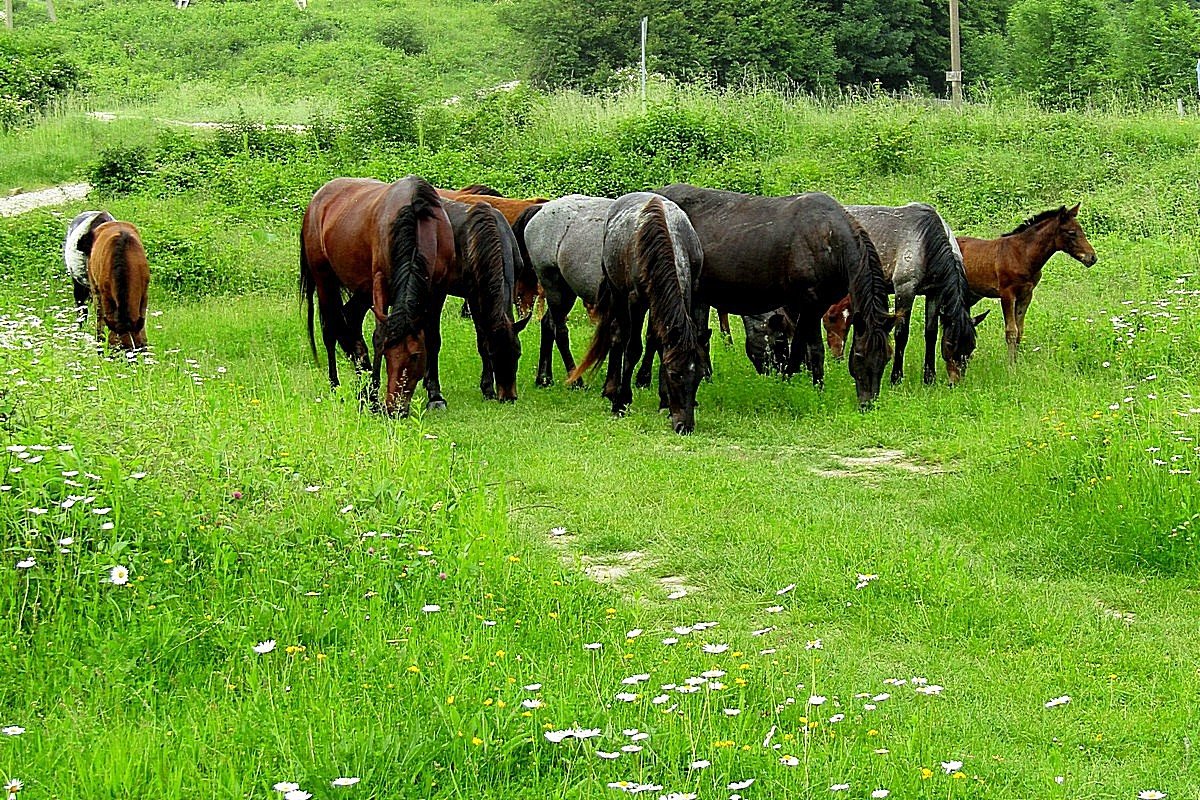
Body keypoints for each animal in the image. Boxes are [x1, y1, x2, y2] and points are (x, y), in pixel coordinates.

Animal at [85, 221, 151, 352]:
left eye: (138, 347)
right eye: (121, 348)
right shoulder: (106, 296)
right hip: (95, 287)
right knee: (99, 316)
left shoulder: (144, 293)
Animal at [955, 201, 1099, 362]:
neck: (1023, 255)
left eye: (1081, 230)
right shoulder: (1007, 294)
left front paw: (1017, 362)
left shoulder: (1026, 295)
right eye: (1071, 232)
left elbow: (1020, 330)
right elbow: (1011, 331)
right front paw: (1011, 365)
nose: (1092, 257)